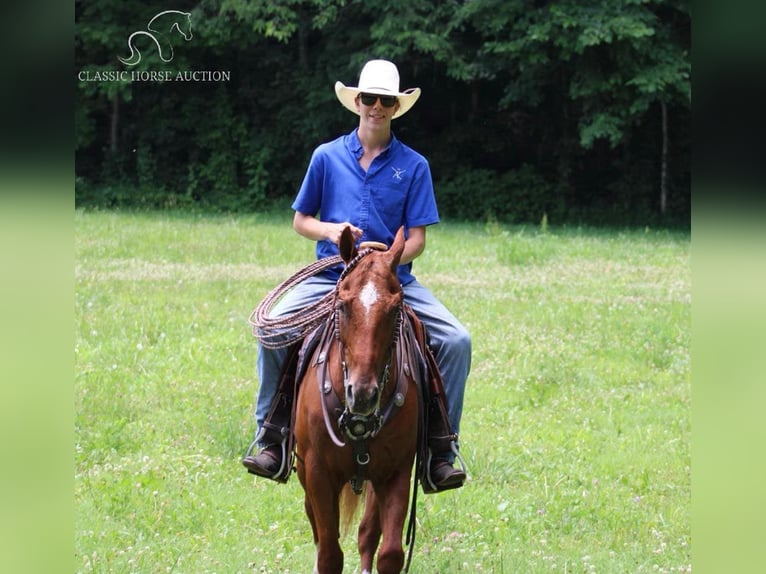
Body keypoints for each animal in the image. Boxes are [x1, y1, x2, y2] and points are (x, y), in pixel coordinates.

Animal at [296, 228, 424, 574]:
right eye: (342, 305)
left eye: (395, 308)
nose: (363, 394)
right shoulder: (318, 473)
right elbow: (328, 554)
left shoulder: (396, 472)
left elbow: (389, 552)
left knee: (368, 533)